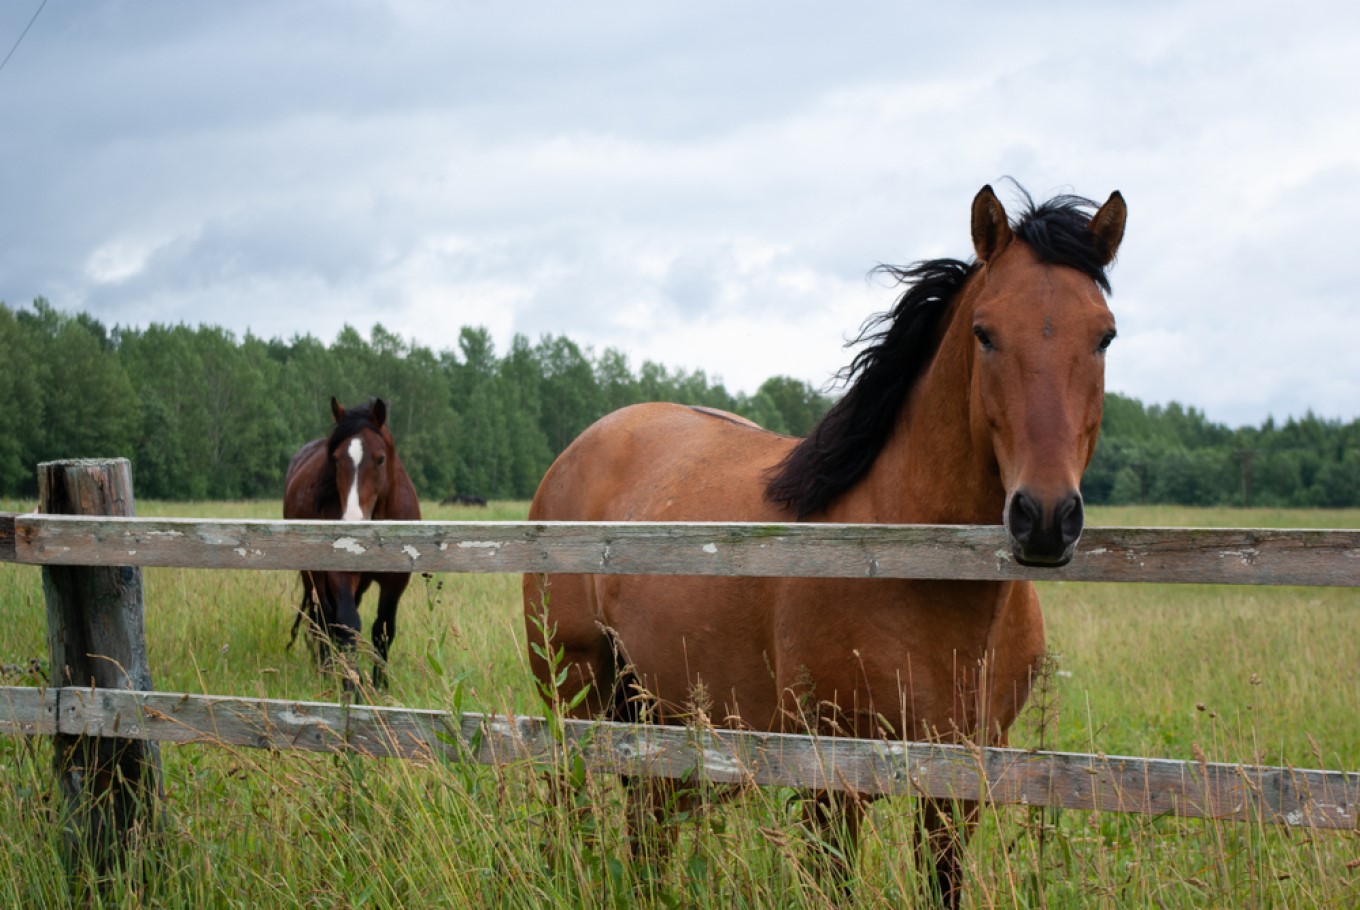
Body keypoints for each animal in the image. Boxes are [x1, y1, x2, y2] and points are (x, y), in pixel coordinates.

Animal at [282, 397, 418, 688]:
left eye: (380, 459)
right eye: (335, 459)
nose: (353, 521)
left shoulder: (396, 580)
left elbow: (383, 629)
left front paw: (380, 686)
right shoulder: (340, 571)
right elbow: (347, 624)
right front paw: (350, 684)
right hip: (312, 575)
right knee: (322, 618)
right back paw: (326, 671)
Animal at [519, 182, 1126, 903]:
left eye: (1104, 336)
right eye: (985, 333)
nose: (1045, 516)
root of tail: (578, 453)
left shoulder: (959, 786)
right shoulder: (832, 783)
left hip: (661, 713)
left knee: (649, 825)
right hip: (576, 693)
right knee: (575, 813)